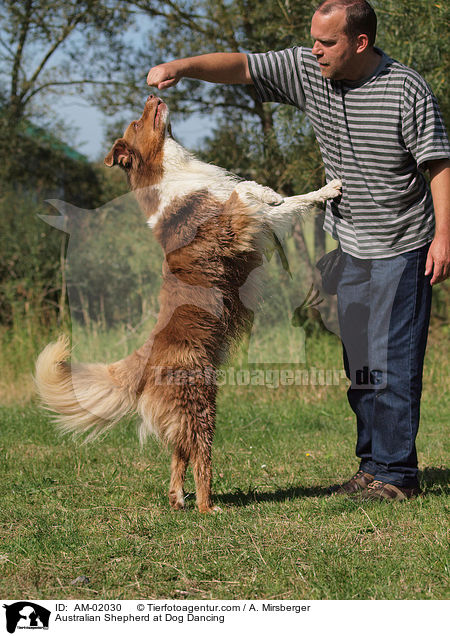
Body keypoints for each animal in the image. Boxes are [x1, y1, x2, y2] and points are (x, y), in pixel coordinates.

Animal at [36, 95, 342, 512]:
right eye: (139, 120)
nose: (154, 94)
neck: (175, 171)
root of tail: (145, 356)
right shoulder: (234, 222)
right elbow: (251, 193)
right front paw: (277, 189)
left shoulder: (254, 220)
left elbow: (289, 201)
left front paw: (320, 190)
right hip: (200, 406)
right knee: (198, 456)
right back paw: (206, 504)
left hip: (187, 412)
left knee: (177, 454)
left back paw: (177, 498)